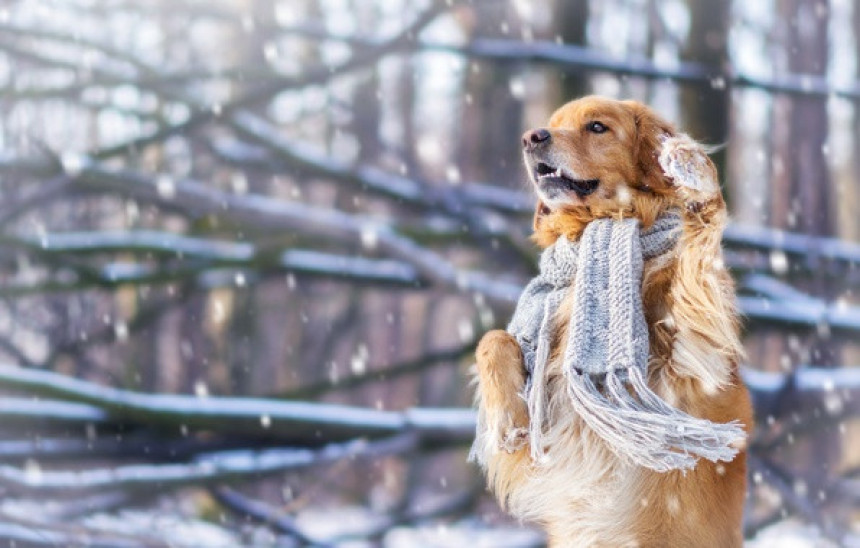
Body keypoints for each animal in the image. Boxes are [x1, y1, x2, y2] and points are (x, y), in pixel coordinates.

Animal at [470, 96, 752, 544]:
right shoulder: (547, 443)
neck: (601, 225)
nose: (531, 138)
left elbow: (697, 255)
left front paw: (692, 170)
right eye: (552, 123)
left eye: (597, 127)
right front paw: (509, 421)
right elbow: (493, 339)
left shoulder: (691, 354)